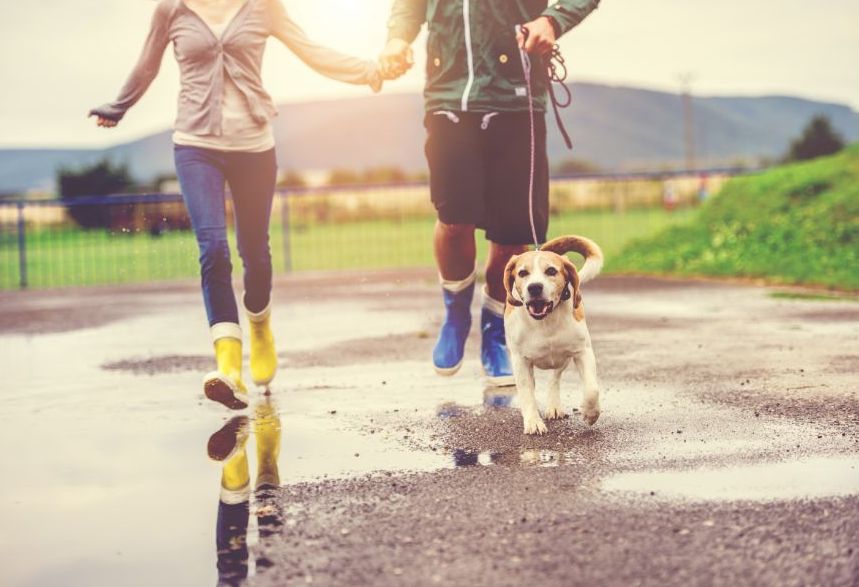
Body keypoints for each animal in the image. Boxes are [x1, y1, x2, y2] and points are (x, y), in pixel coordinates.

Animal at [504, 235, 604, 436]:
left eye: (551, 271)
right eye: (522, 273)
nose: (535, 287)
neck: (545, 321)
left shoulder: (583, 352)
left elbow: (591, 390)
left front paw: (591, 413)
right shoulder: (520, 361)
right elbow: (527, 393)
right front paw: (533, 422)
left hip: (563, 358)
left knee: (554, 379)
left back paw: (554, 405)